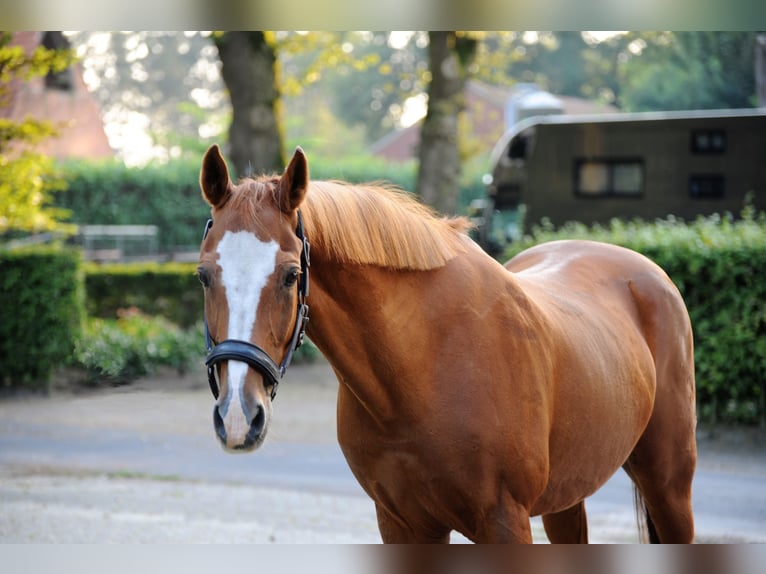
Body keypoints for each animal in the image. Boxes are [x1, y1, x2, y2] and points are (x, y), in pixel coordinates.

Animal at [196, 145, 696, 544]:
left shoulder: (504, 522)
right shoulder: (402, 524)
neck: (421, 366)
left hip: (669, 487)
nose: (238, 416)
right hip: (567, 497)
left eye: (290, 275)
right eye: (203, 275)